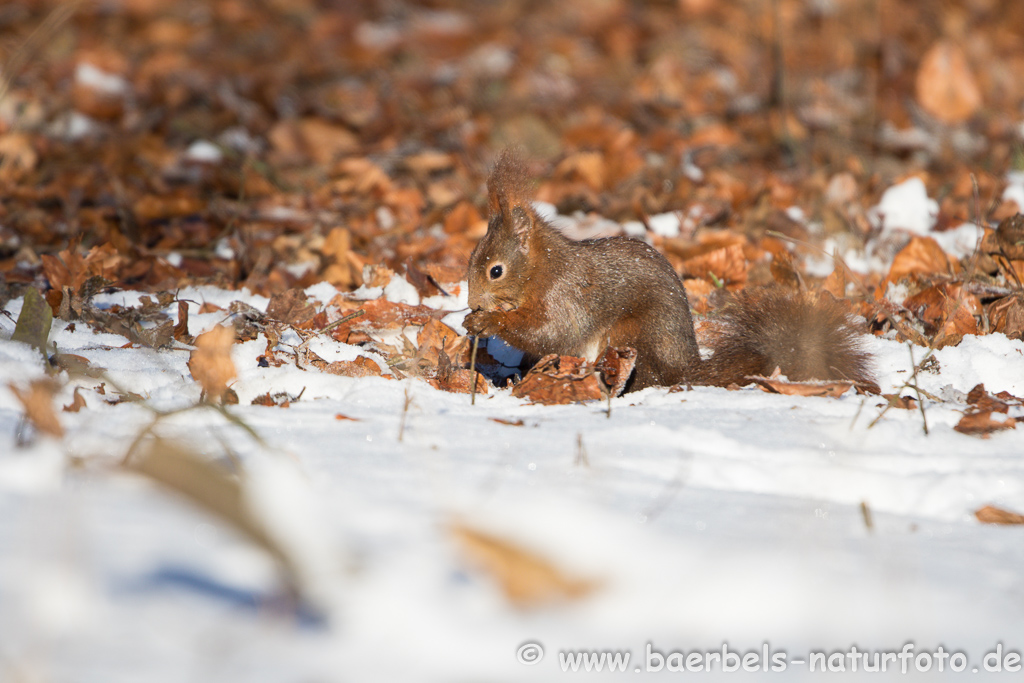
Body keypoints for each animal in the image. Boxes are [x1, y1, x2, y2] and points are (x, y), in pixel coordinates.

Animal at [464, 149, 872, 395]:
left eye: (496, 271)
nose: (470, 302)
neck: (543, 269)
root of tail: (682, 370)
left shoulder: (567, 295)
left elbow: (551, 331)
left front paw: (488, 322)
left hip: (630, 336)